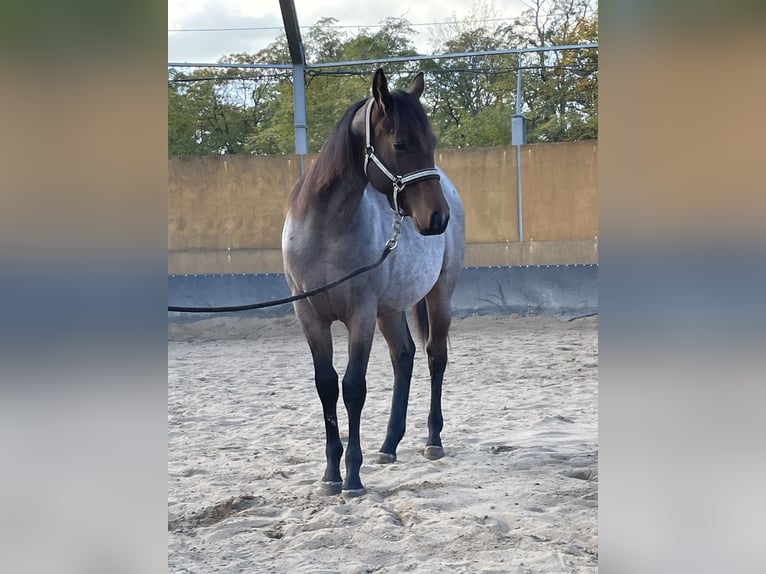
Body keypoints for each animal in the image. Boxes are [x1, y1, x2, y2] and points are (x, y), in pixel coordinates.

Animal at [280, 68, 464, 500]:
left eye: (432, 141)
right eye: (400, 142)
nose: (438, 218)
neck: (326, 232)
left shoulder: (359, 316)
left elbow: (353, 388)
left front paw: (352, 478)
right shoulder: (309, 316)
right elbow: (327, 385)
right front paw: (330, 475)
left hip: (439, 295)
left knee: (435, 356)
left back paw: (433, 441)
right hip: (390, 309)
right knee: (404, 356)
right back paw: (389, 445)